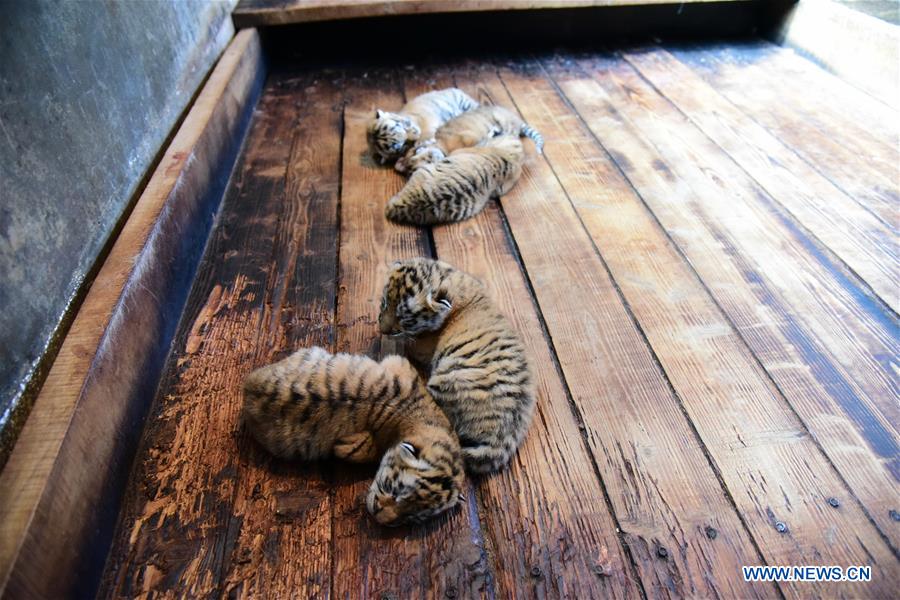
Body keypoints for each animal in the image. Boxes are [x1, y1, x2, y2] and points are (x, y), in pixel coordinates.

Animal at [378, 258, 536, 474]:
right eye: (385, 302)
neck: (447, 279)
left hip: (447, 380)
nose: (382, 331)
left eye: (405, 318)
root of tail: (504, 434)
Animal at [395, 104, 544, 174]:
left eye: (416, 151)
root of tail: (516, 119)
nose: (430, 157)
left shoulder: (468, 137)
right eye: (413, 170)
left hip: (504, 122)